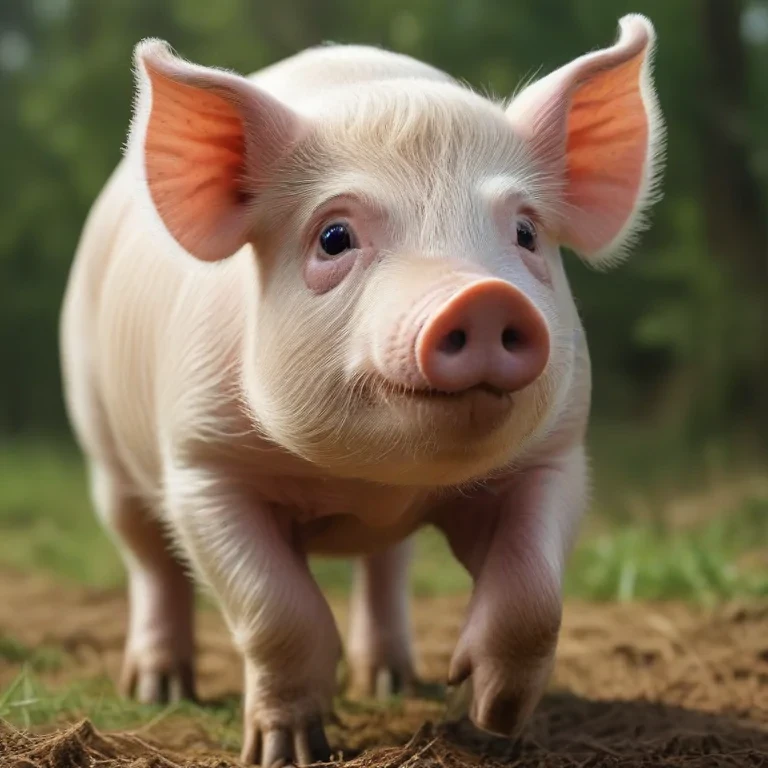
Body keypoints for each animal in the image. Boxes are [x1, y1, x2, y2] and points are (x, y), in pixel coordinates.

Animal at [59, 13, 664, 767]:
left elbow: (533, 597)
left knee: (387, 564)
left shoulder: (556, 454)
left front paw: (487, 715)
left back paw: (393, 683)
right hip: (103, 442)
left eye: (525, 231)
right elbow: (279, 611)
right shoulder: (203, 464)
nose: (482, 297)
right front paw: (288, 751)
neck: (369, 483)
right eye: (334, 236)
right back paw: (159, 691)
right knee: (146, 557)